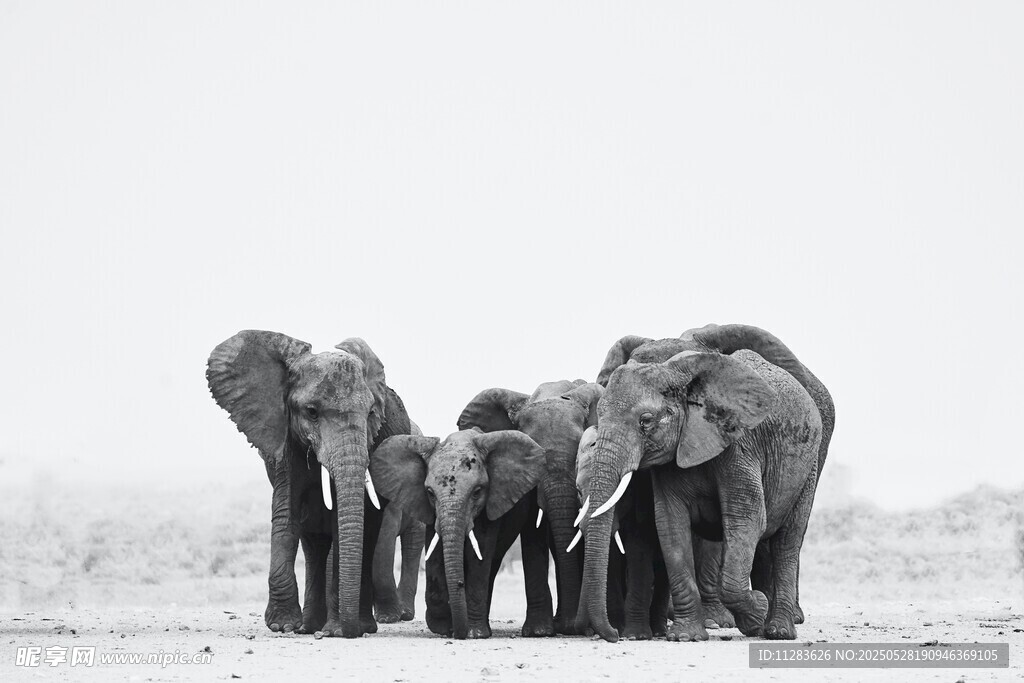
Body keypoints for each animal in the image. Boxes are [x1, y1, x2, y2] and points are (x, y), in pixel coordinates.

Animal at [207, 331, 412, 638]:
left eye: (371, 413)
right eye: (312, 412)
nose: (346, 631)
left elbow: (342, 524)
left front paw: (337, 629)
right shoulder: (284, 443)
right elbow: (286, 514)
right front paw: (282, 625)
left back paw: (355, 625)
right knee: (313, 542)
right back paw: (310, 626)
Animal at [369, 428, 553, 639]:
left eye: (477, 491)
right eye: (430, 492)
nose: (458, 632)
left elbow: (479, 555)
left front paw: (474, 633)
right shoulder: (430, 511)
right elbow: (436, 553)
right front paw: (442, 627)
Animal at [575, 341, 824, 642]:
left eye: (645, 421)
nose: (613, 635)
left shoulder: (740, 445)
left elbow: (747, 519)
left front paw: (757, 612)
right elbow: (670, 524)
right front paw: (686, 636)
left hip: (808, 466)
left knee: (788, 541)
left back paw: (779, 631)